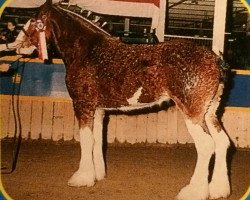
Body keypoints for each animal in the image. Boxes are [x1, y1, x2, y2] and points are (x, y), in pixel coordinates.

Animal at [23, 0, 230, 199]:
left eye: (34, 20)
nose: (19, 44)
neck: (87, 51)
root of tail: (216, 60)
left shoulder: (83, 105)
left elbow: (86, 140)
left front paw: (81, 178)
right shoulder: (98, 111)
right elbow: (97, 140)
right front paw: (98, 174)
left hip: (193, 114)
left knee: (206, 145)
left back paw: (193, 192)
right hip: (209, 113)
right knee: (222, 142)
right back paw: (218, 190)